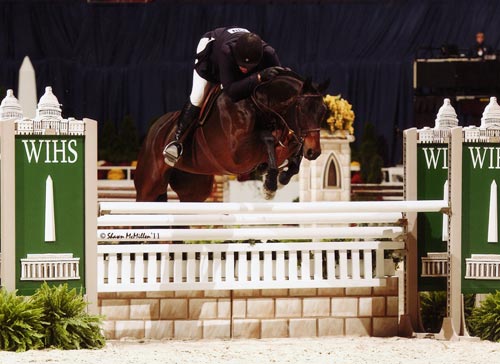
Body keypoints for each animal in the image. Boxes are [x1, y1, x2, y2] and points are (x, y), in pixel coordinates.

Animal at [133, 71, 328, 202]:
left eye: (323, 111)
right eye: (302, 110)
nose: (314, 152)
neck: (259, 105)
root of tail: (154, 128)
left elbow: (290, 148)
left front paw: (282, 177)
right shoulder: (237, 155)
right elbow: (268, 139)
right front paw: (270, 186)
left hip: (194, 189)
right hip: (149, 186)